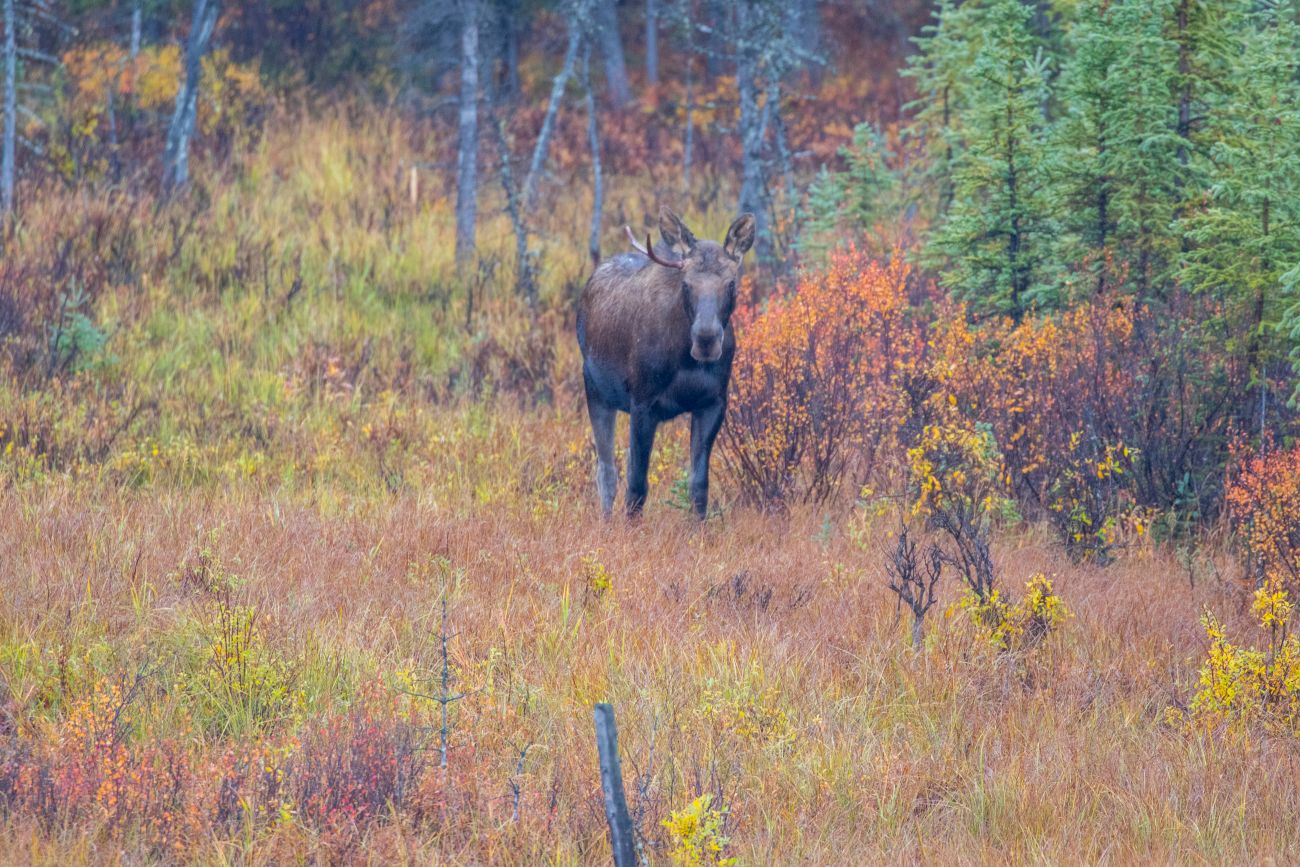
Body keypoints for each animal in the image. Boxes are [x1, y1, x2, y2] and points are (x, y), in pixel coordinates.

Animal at [577, 206, 754, 519]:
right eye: (686, 283)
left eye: (731, 283)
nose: (706, 339)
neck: (686, 360)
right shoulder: (643, 403)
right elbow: (637, 485)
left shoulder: (713, 404)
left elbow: (699, 485)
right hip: (596, 391)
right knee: (607, 472)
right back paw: (606, 521)